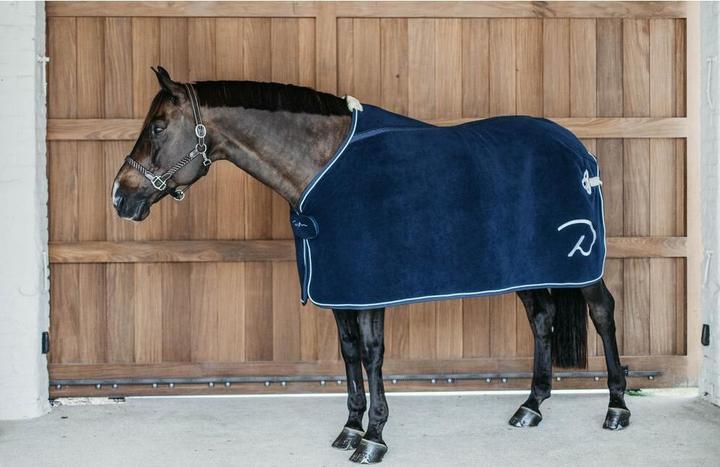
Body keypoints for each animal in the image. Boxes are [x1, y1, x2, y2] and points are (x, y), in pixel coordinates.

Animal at [112, 67, 629, 464]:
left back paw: (617, 407)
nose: (119, 196)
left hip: (581, 265)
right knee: (541, 319)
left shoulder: (367, 287)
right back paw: (531, 406)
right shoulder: (339, 285)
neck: (323, 165)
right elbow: (348, 353)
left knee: (603, 312)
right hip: (528, 267)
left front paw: (374, 438)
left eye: (158, 127)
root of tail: (577, 148)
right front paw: (350, 428)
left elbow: (373, 353)